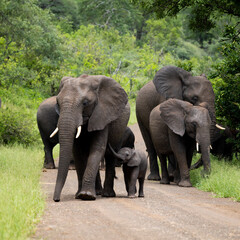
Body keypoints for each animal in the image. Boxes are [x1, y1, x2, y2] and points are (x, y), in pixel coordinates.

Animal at [50, 74, 129, 202]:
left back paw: (107, 194)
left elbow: (97, 148)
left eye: (85, 103)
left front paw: (86, 195)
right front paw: (80, 195)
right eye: (57, 102)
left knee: (111, 155)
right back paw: (98, 191)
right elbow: (77, 152)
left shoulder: (103, 114)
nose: (56, 199)